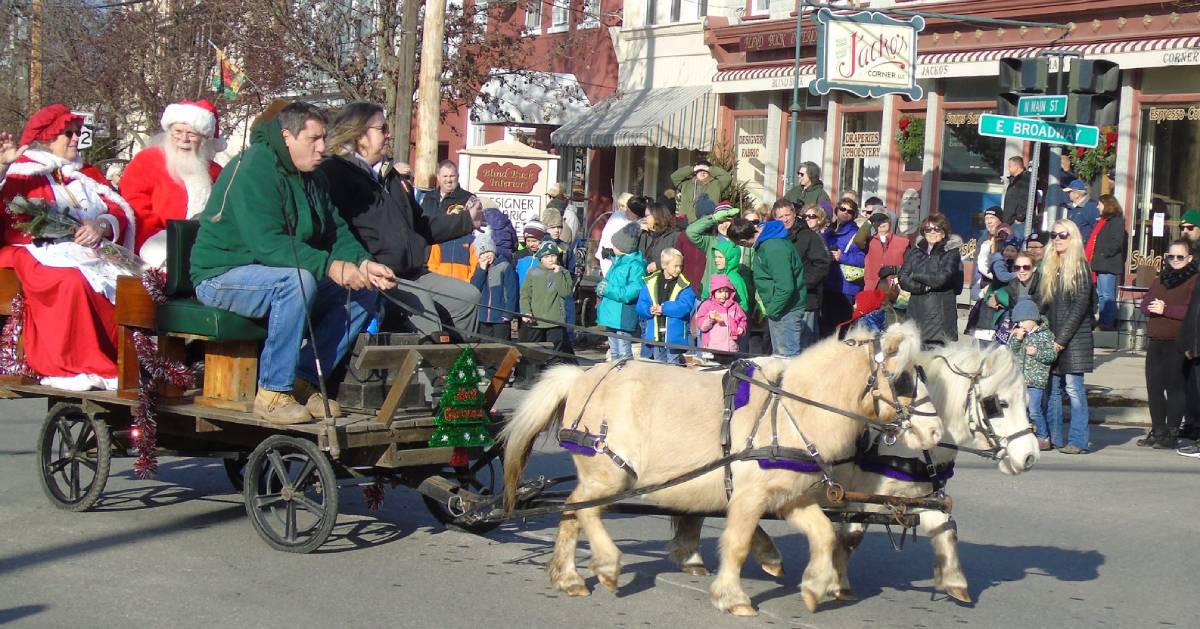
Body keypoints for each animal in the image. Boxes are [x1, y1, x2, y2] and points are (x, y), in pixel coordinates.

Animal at [501, 321, 940, 614]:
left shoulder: (789, 497)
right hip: (610, 472)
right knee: (583, 510)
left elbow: (823, 535)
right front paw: (732, 596)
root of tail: (581, 375)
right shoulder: (749, 497)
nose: (936, 431)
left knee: (572, 513)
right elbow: (738, 542)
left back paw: (568, 577)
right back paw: (607, 565)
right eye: (902, 380)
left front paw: (814, 587)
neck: (791, 409)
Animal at [667, 338, 1041, 604]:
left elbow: (944, 529)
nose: (1030, 457)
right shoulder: (859, 497)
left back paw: (706, 555)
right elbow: (850, 537)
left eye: (1027, 401)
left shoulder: (915, 495)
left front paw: (955, 582)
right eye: (996, 404)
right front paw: (836, 583)